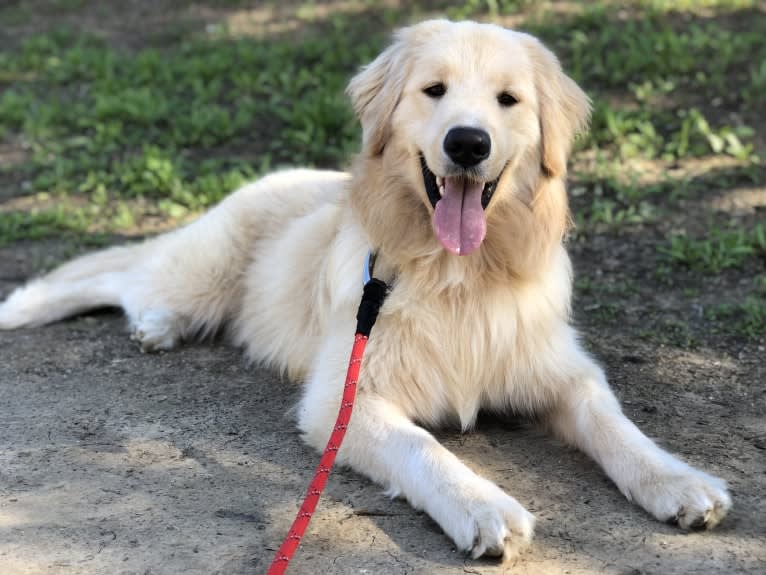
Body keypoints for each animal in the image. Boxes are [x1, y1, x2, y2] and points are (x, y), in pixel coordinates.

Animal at [0, 20, 732, 560]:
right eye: (434, 90)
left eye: (508, 100)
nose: (468, 144)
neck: (458, 274)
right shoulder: (344, 397)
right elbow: (424, 448)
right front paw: (483, 506)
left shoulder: (562, 371)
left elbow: (616, 426)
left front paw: (680, 482)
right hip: (199, 274)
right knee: (118, 273)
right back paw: (48, 310)